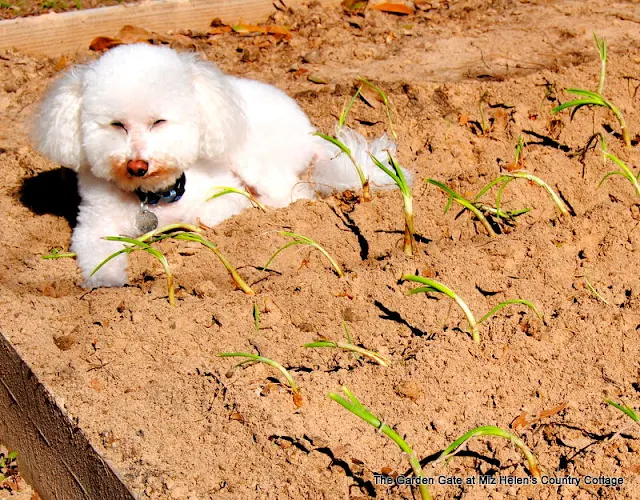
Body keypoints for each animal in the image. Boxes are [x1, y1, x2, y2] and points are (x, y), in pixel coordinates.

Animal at [32, 45, 400, 288]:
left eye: (159, 122)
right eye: (116, 125)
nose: (137, 165)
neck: (154, 196)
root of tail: (309, 131)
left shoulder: (225, 193)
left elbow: (208, 215)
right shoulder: (94, 224)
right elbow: (98, 252)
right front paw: (107, 280)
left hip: (255, 159)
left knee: (291, 196)